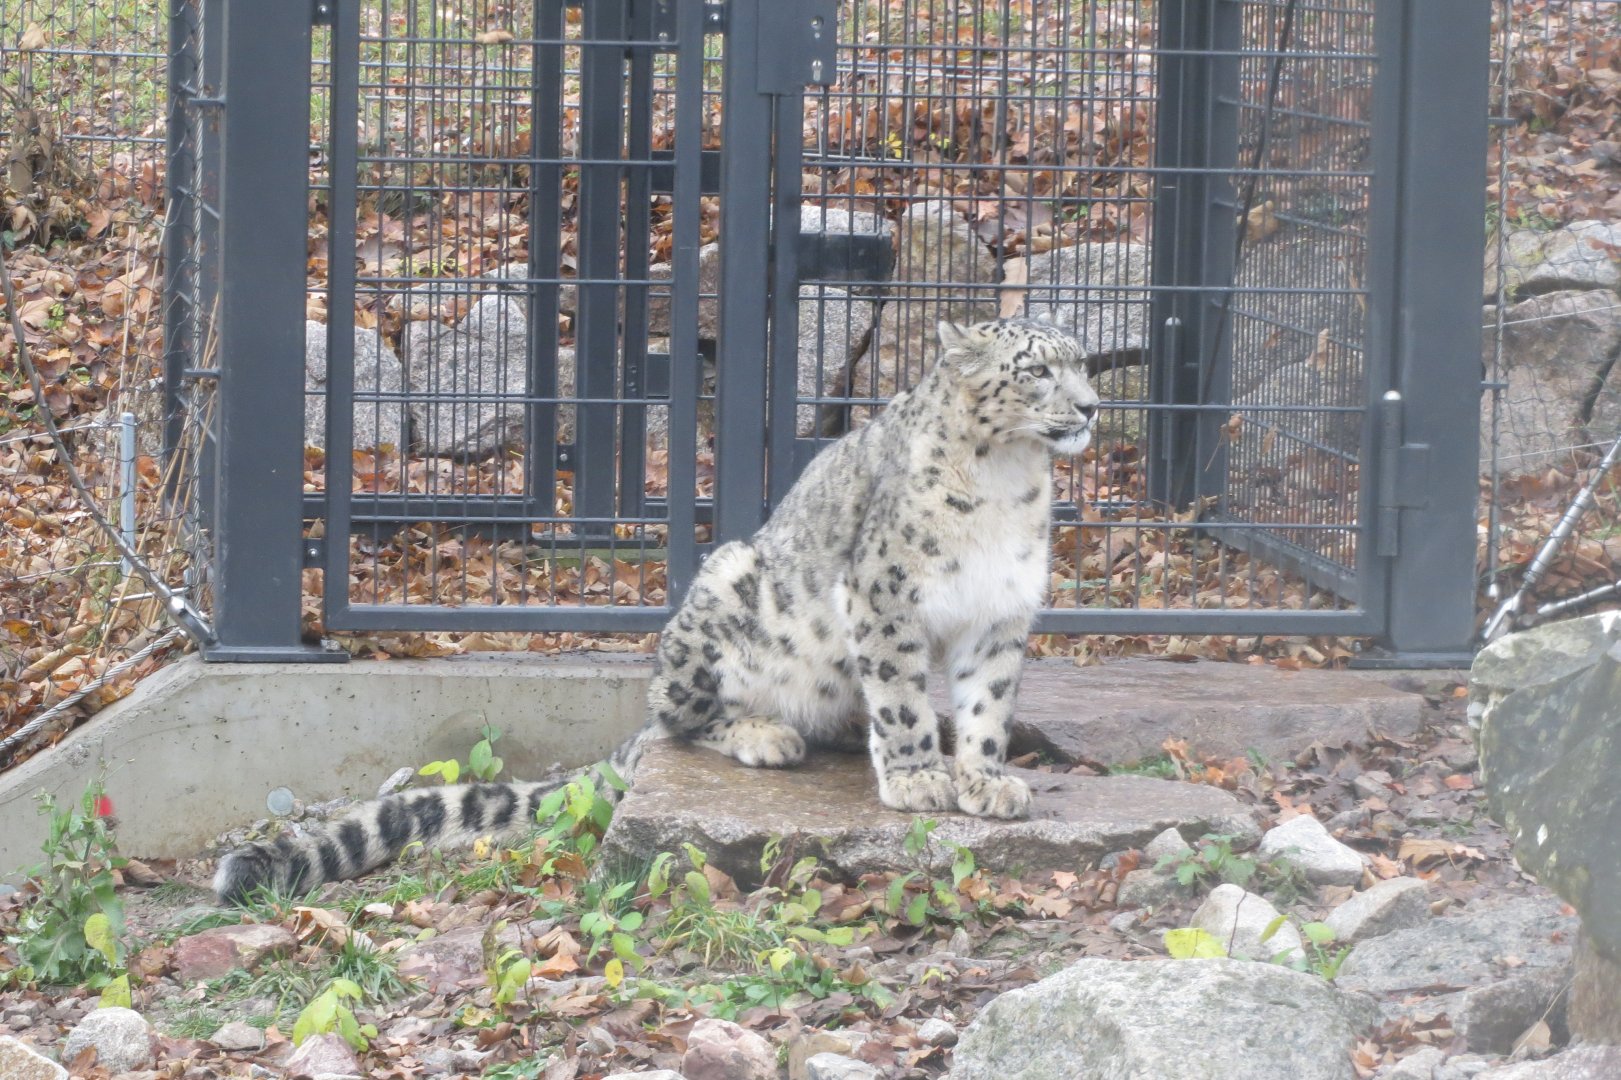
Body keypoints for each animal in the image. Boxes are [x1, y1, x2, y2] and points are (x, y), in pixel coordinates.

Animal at [213, 317, 1099, 905]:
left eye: (1083, 362)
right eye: (1034, 370)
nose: (1092, 406)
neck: (1008, 485)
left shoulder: (1001, 613)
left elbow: (987, 705)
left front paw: (985, 779)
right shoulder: (884, 596)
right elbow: (904, 697)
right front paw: (918, 777)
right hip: (725, 590)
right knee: (680, 722)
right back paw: (766, 734)